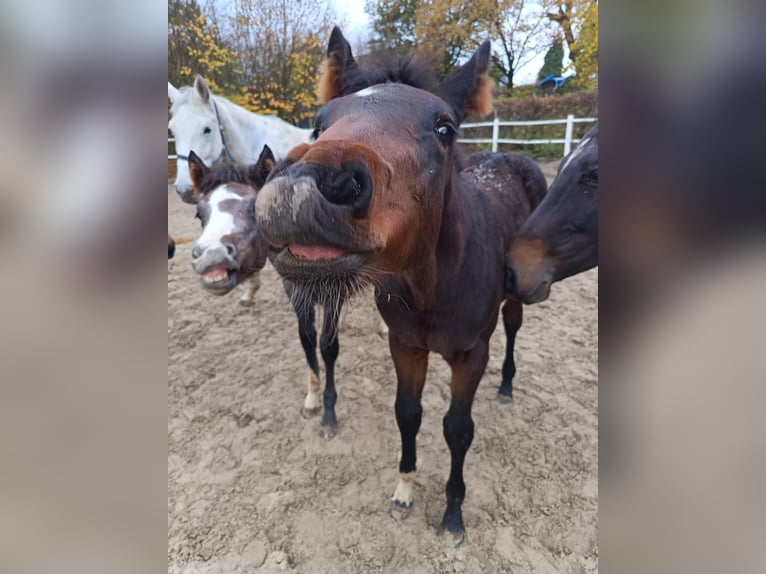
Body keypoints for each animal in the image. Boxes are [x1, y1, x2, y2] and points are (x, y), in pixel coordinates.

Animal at [187, 145, 348, 436]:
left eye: (255, 208)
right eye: (199, 214)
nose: (212, 256)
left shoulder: (334, 287)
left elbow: (328, 346)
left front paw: (329, 415)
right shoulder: (296, 292)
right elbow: (307, 340)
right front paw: (312, 399)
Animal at [255, 27, 547, 539]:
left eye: (445, 127)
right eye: (318, 125)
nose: (302, 190)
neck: (433, 287)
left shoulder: (472, 353)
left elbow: (458, 428)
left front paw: (453, 514)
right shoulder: (405, 345)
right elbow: (408, 414)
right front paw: (405, 489)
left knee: (513, 327)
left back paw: (507, 384)